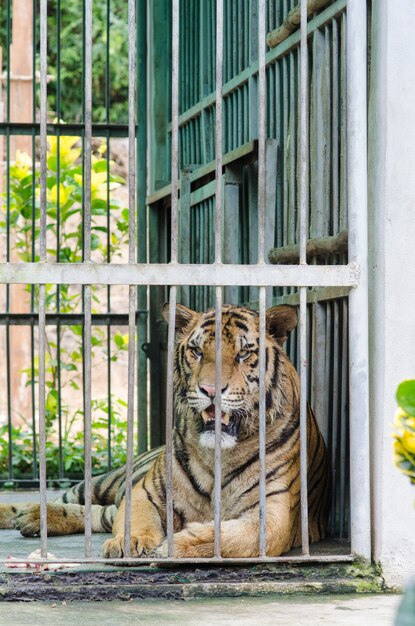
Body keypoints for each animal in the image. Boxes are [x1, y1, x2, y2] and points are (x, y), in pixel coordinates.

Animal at [0, 302, 332, 556]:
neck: (221, 454)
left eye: (243, 354)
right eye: (197, 351)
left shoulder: (274, 513)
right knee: (69, 501)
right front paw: (132, 543)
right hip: (103, 482)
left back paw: (31, 520)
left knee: (99, 514)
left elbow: (236, 538)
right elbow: (136, 521)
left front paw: (177, 544)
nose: (211, 390)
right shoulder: (147, 492)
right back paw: (26, 515)